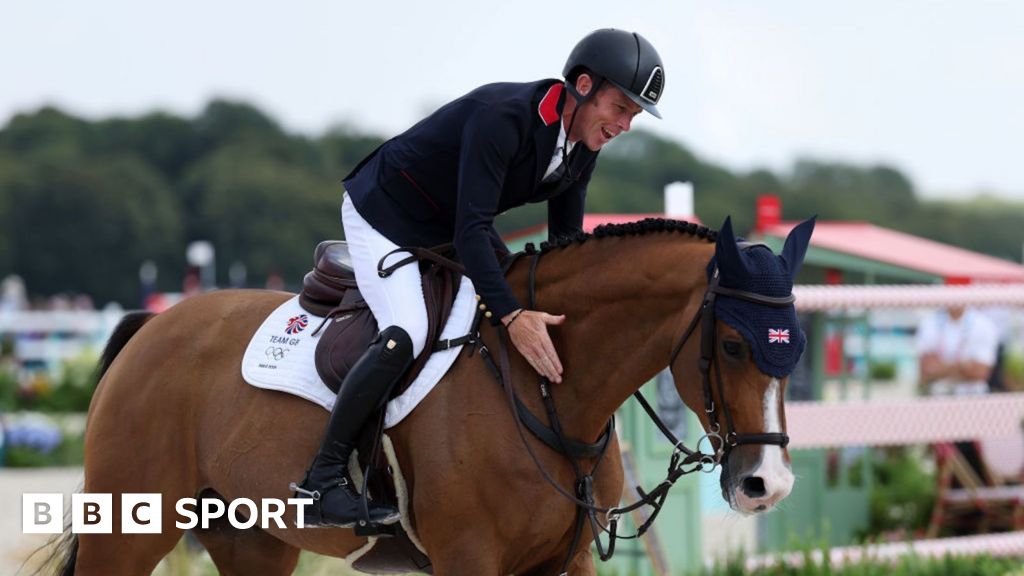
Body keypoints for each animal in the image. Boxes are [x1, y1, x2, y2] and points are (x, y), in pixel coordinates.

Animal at [56, 216, 811, 573]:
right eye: (734, 346)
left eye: (796, 347)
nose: (766, 485)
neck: (547, 390)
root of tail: (155, 325)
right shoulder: (468, 560)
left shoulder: (562, 564)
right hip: (131, 528)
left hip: (253, 540)